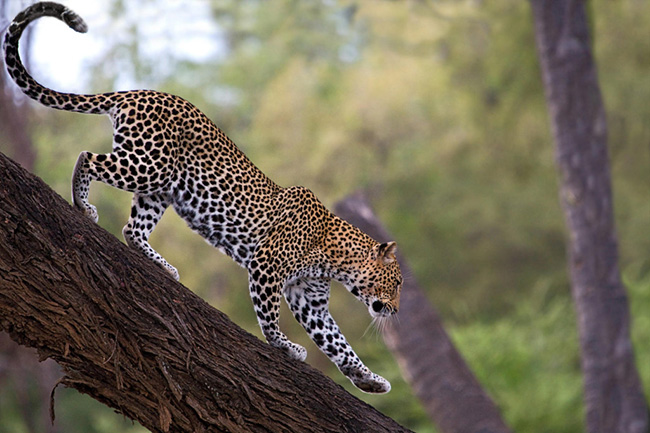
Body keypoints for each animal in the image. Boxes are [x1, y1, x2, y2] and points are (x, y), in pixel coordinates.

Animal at [3, 3, 400, 394]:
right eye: (396, 284)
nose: (395, 311)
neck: (335, 258)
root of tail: (139, 92)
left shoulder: (310, 300)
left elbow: (337, 342)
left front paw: (369, 378)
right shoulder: (267, 267)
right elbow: (270, 316)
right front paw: (285, 346)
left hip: (160, 189)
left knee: (133, 229)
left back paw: (162, 266)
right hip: (148, 165)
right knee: (87, 158)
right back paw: (83, 205)